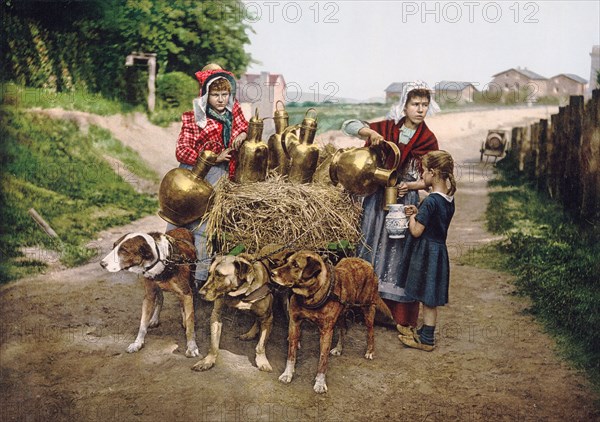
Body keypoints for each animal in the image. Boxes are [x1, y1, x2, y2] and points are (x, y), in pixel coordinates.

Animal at [99, 229, 199, 358]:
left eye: (124, 250)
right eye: (114, 246)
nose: (102, 264)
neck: (162, 261)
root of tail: (182, 229)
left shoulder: (186, 293)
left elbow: (190, 322)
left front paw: (192, 346)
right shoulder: (149, 295)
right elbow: (143, 323)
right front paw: (138, 343)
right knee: (161, 298)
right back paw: (155, 318)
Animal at [270, 251, 390, 392]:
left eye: (295, 265)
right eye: (287, 261)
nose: (272, 273)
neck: (310, 297)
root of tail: (367, 263)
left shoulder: (326, 331)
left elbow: (323, 359)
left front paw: (320, 383)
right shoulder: (294, 323)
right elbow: (291, 354)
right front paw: (287, 374)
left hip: (368, 309)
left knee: (371, 332)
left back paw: (370, 351)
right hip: (342, 314)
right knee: (343, 329)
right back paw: (339, 348)